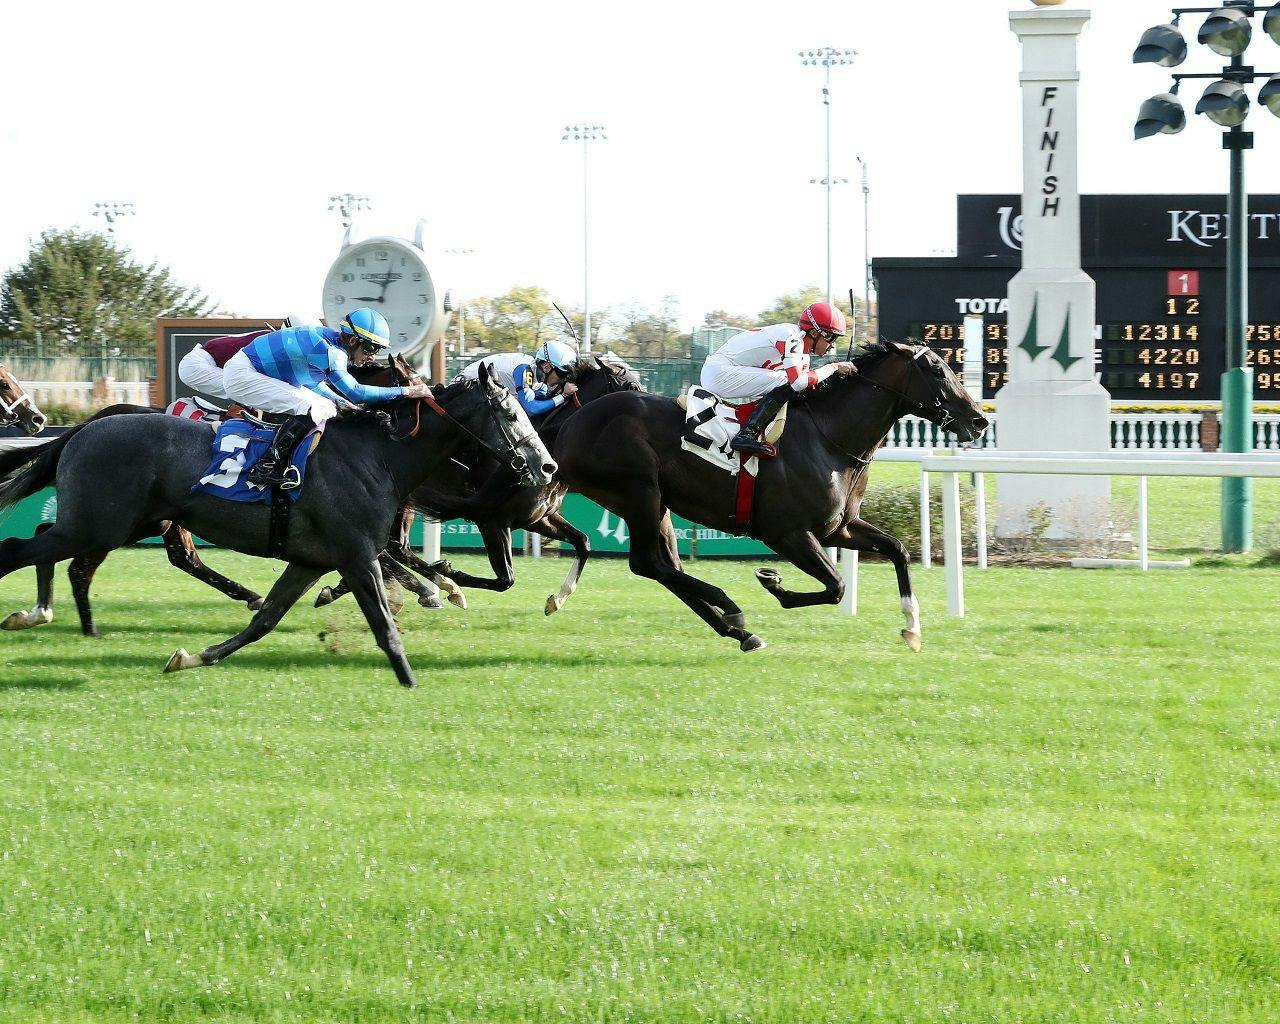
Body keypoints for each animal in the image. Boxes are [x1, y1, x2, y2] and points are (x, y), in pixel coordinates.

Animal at [0, 360, 555, 686]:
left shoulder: (311, 560)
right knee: (21, 549)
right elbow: (384, 624)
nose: (547, 467)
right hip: (98, 524)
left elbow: (264, 621)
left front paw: (192, 657)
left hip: (118, 523)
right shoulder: (357, 555)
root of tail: (84, 428)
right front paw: (411, 680)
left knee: (44, 547)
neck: (377, 456)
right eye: (510, 415)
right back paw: (36, 614)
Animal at [555, 340, 983, 652]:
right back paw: (731, 610)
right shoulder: (786, 534)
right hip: (639, 492)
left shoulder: (839, 529)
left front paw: (912, 627)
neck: (829, 439)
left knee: (665, 567)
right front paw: (772, 582)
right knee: (647, 564)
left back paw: (738, 631)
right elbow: (836, 587)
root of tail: (570, 425)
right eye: (936, 369)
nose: (978, 419)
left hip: (656, 504)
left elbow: (898, 550)